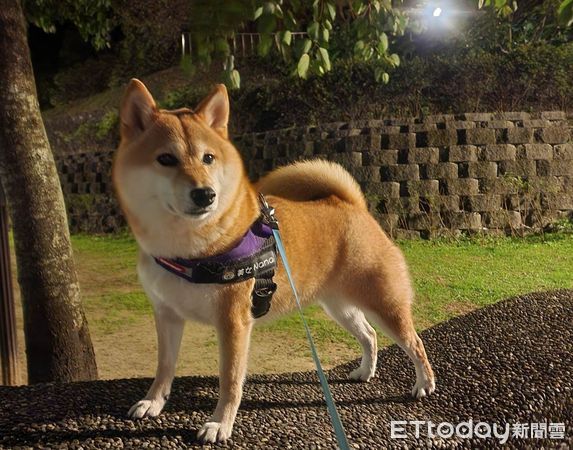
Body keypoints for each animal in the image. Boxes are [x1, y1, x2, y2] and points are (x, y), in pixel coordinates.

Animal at [111, 80, 434, 442]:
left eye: (208, 158)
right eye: (166, 159)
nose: (205, 194)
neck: (188, 251)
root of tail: (352, 205)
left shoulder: (233, 322)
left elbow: (230, 380)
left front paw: (220, 423)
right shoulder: (166, 315)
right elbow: (164, 367)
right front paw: (153, 402)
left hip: (384, 303)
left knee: (414, 343)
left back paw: (424, 385)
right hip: (339, 307)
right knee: (369, 335)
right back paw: (365, 371)